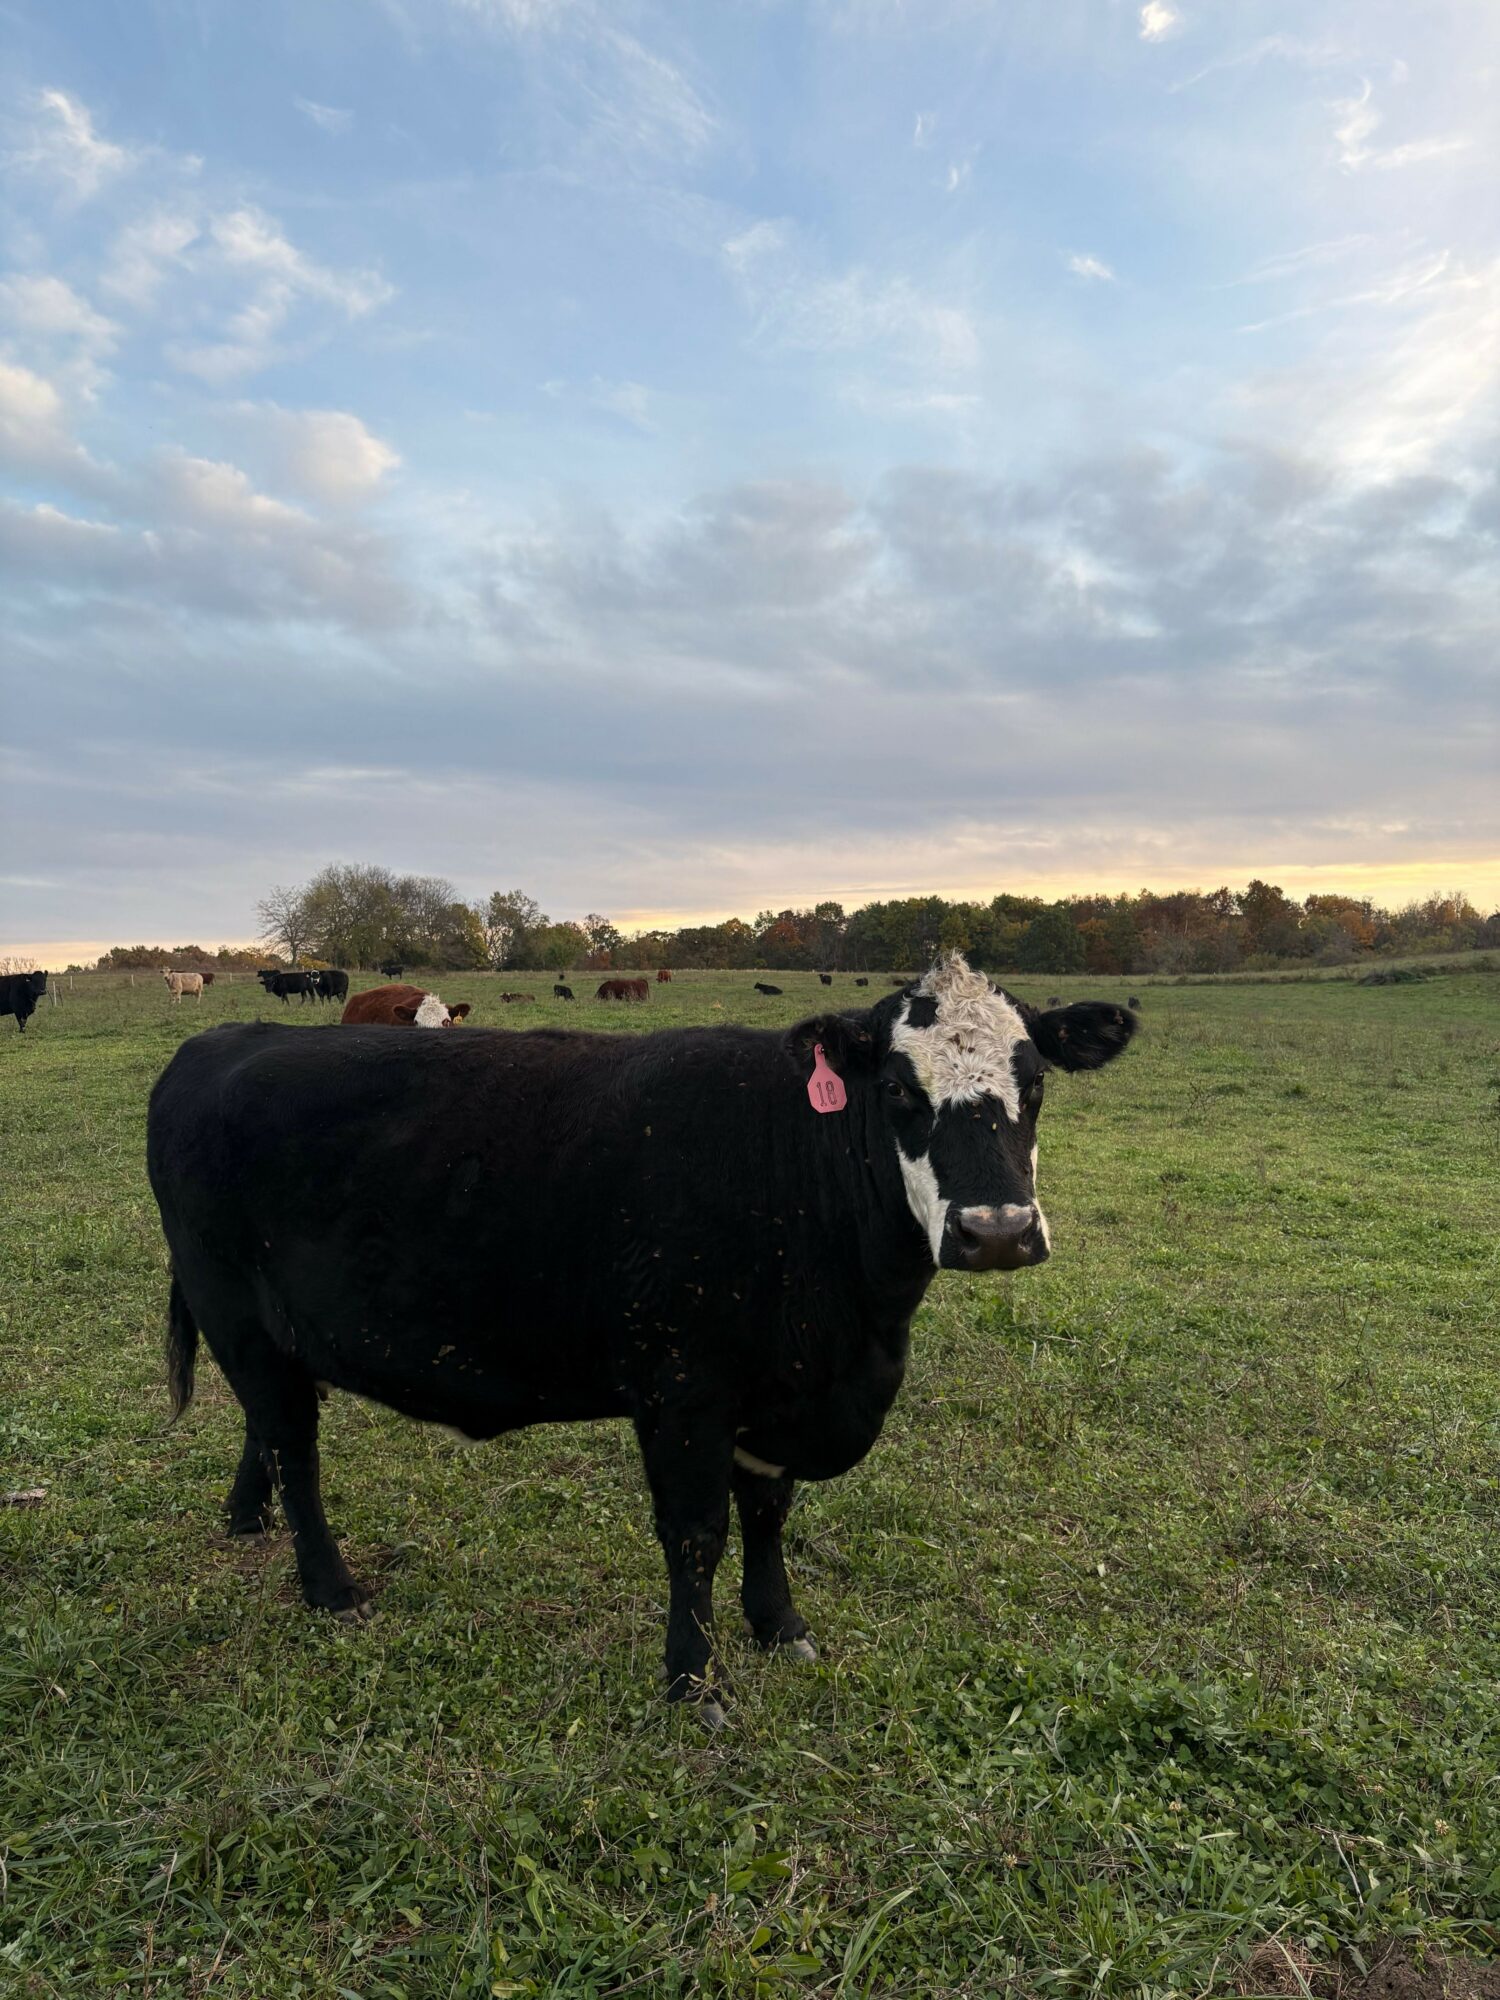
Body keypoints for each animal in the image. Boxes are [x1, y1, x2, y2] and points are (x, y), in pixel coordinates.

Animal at [148, 953, 1136, 1725]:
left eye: (1035, 1084)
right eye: (898, 1089)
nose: (997, 1231)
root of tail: (224, 1038)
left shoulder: (776, 1392)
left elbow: (768, 1513)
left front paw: (779, 1626)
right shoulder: (685, 1391)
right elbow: (696, 1535)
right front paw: (694, 1681)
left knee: (271, 1431)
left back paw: (246, 1517)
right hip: (236, 1313)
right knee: (294, 1446)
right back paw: (329, 1587)